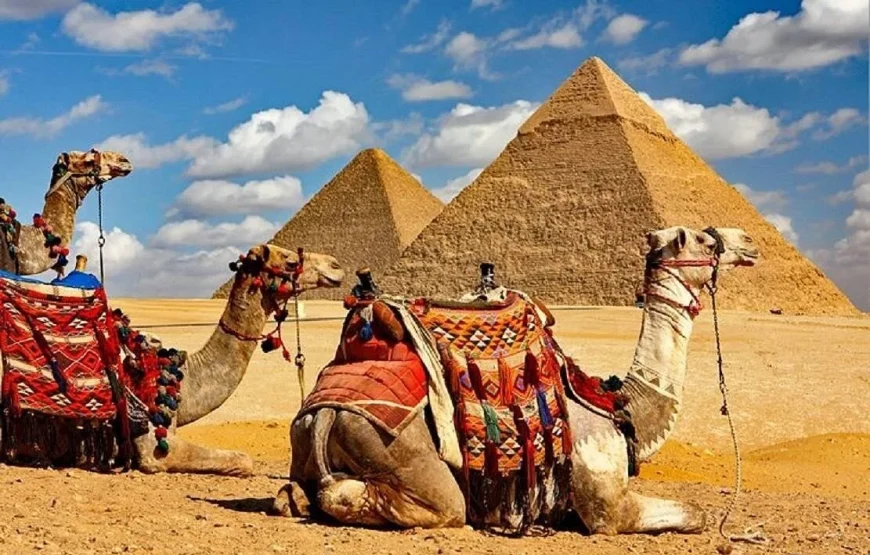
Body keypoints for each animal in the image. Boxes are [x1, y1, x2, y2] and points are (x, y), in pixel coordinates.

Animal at [276, 226, 759, 535]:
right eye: (702, 238)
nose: (749, 241)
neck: (619, 403)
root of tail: (324, 412)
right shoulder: (606, 506)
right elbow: (695, 513)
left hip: (304, 443)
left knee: (292, 494)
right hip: (402, 456)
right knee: (415, 503)